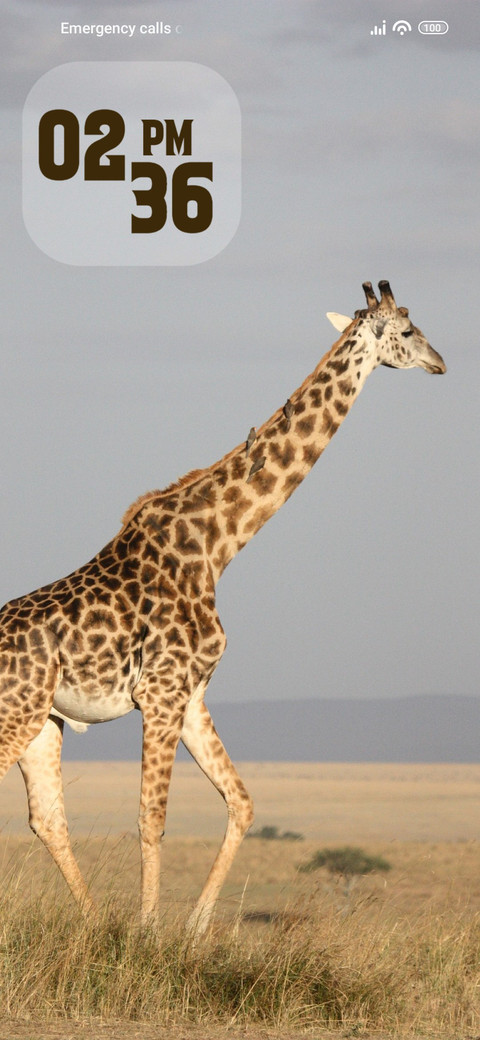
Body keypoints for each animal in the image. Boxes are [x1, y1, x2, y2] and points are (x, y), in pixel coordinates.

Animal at [0, 281, 445, 937]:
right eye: (410, 331)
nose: (441, 364)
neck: (219, 545)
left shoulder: (192, 695)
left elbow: (242, 802)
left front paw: (193, 928)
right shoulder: (160, 692)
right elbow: (152, 818)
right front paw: (148, 934)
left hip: (42, 722)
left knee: (48, 819)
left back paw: (94, 924)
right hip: (16, 714)